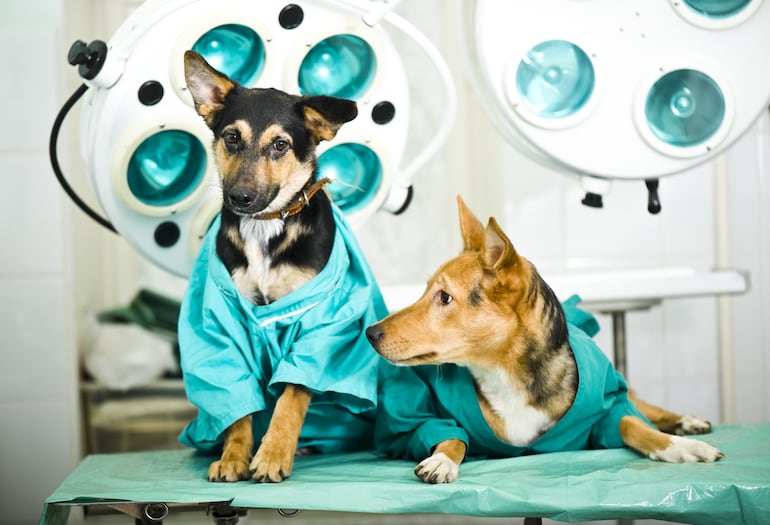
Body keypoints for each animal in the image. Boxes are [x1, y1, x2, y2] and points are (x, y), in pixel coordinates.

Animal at [366, 196, 720, 484]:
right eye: (426, 290)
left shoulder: (607, 406)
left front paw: (682, 447)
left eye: (445, 297)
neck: (505, 374)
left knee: (646, 409)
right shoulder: (421, 415)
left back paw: (688, 423)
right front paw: (441, 460)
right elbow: (450, 435)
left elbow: (632, 424)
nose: (371, 333)